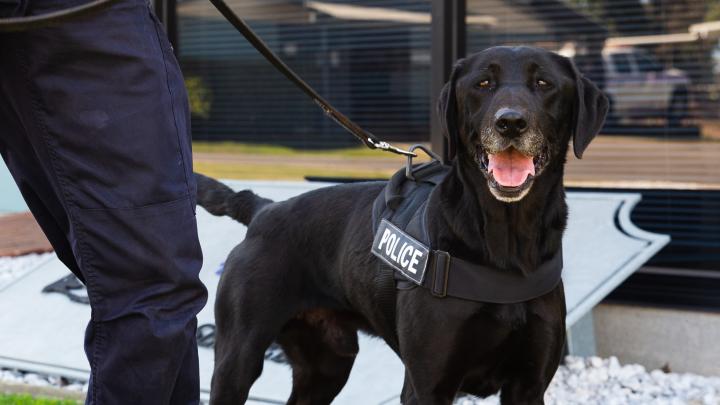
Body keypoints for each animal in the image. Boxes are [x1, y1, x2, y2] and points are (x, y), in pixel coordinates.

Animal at [197, 45, 608, 402]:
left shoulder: (528, 387)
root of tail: (264, 210)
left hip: (327, 365)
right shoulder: (427, 386)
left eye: (544, 83)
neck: (506, 240)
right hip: (237, 358)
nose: (510, 122)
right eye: (482, 84)